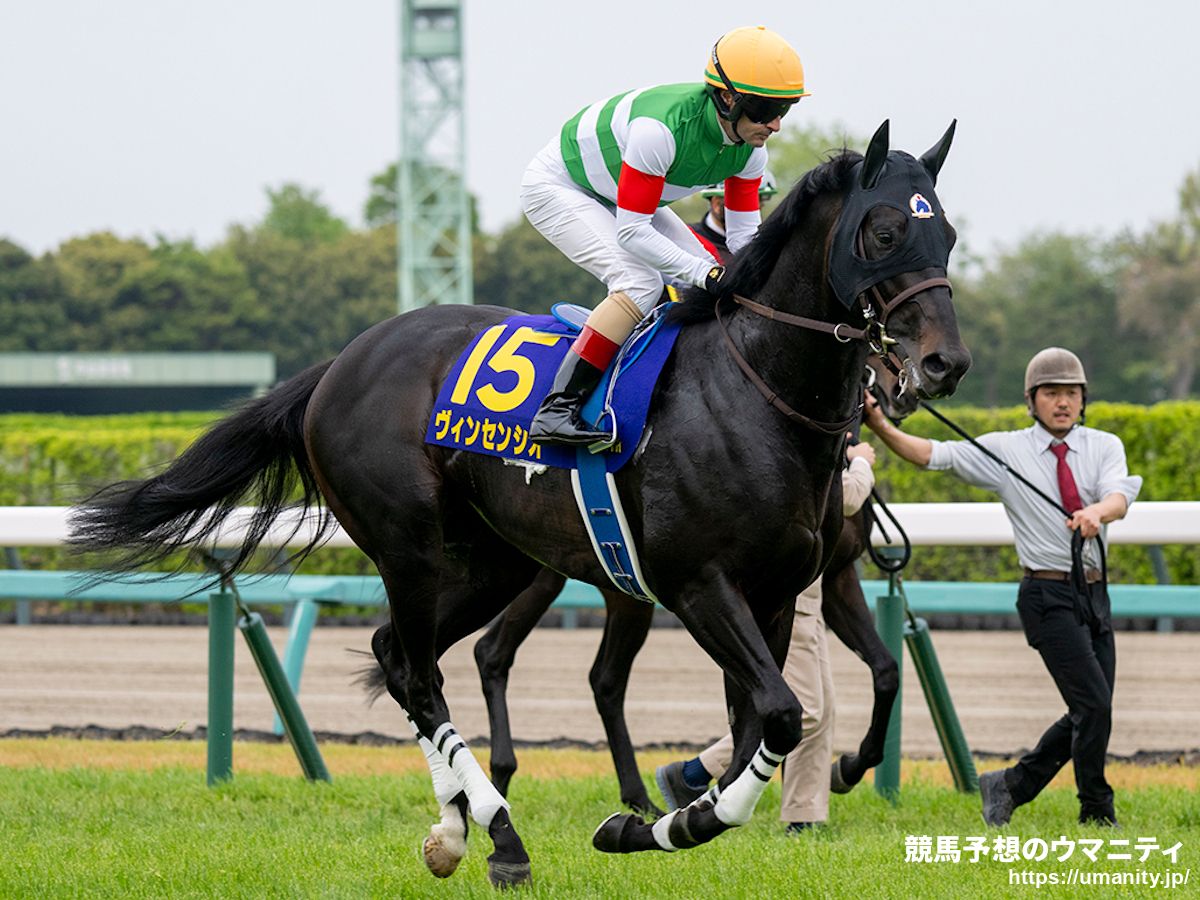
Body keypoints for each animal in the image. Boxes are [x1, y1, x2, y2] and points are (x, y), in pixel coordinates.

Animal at [469, 356, 914, 820]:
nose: (906, 391)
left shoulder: (838, 577)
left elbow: (885, 670)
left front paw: (849, 766)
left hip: (624, 595)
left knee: (605, 680)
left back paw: (637, 796)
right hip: (542, 575)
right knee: (492, 653)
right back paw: (502, 772)